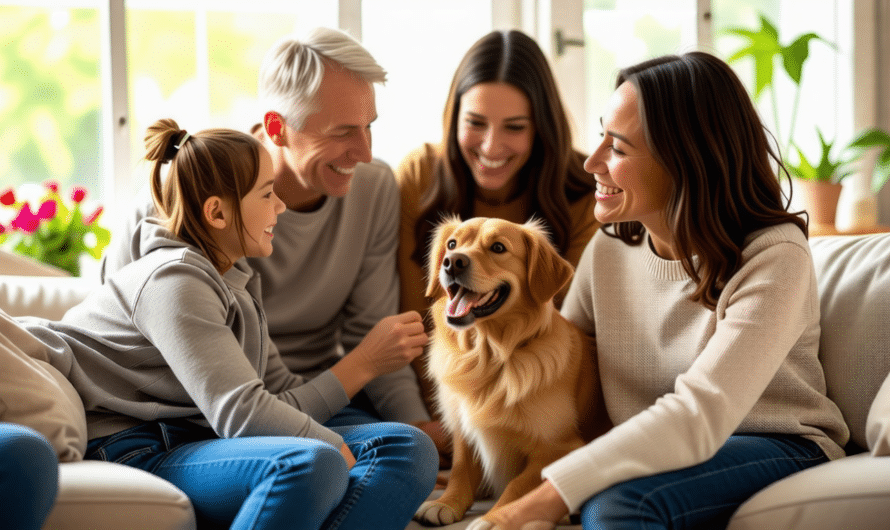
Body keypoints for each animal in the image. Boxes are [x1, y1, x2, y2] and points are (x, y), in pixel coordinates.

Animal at [412, 217, 608, 524]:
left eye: (498, 247)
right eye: (452, 244)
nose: (452, 262)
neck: (488, 355)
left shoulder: (562, 447)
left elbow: (519, 485)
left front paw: (495, 519)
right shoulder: (463, 429)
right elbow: (460, 468)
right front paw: (446, 502)